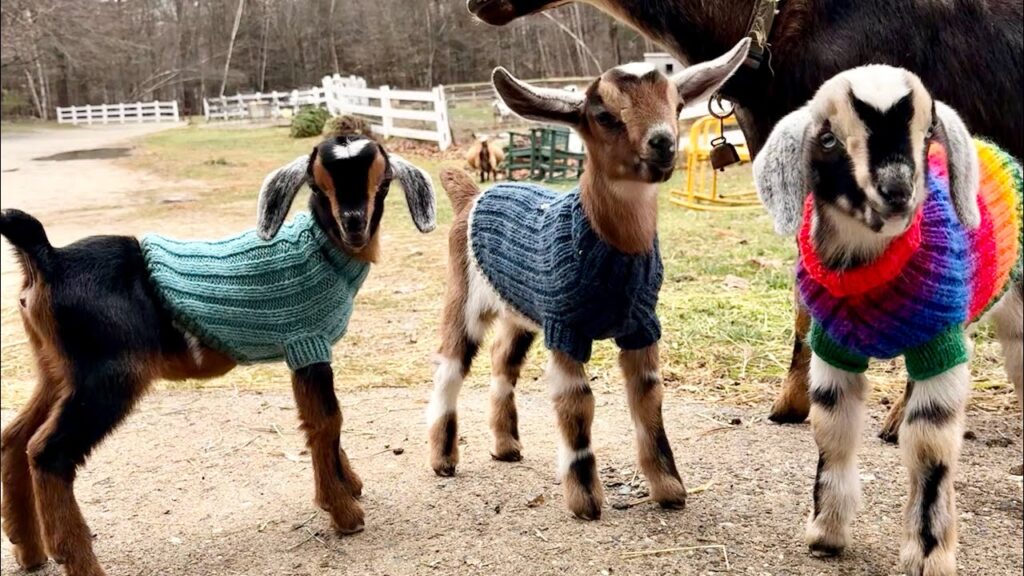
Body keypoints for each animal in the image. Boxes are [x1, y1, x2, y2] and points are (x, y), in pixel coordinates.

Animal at [0, 135, 435, 576]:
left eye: (383, 182)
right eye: (316, 185)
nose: (353, 223)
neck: (319, 250)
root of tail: (48, 257)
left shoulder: (306, 348)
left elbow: (322, 419)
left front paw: (349, 484)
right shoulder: (306, 341)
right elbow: (326, 420)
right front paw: (344, 512)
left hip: (57, 369)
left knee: (15, 437)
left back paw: (29, 550)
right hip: (108, 375)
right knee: (48, 452)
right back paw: (77, 559)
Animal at [426, 39, 750, 520]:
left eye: (676, 104)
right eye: (604, 114)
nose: (663, 144)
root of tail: (472, 195)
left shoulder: (641, 326)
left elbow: (648, 398)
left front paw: (670, 491)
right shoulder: (566, 325)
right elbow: (576, 403)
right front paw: (585, 501)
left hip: (521, 310)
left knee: (503, 361)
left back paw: (506, 446)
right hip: (464, 293)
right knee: (450, 366)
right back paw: (443, 460)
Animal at [754, 66, 1022, 576]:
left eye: (927, 132)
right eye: (828, 139)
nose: (897, 191)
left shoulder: (939, 346)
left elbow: (930, 449)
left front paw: (928, 553)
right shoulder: (833, 347)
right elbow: (832, 430)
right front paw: (826, 531)